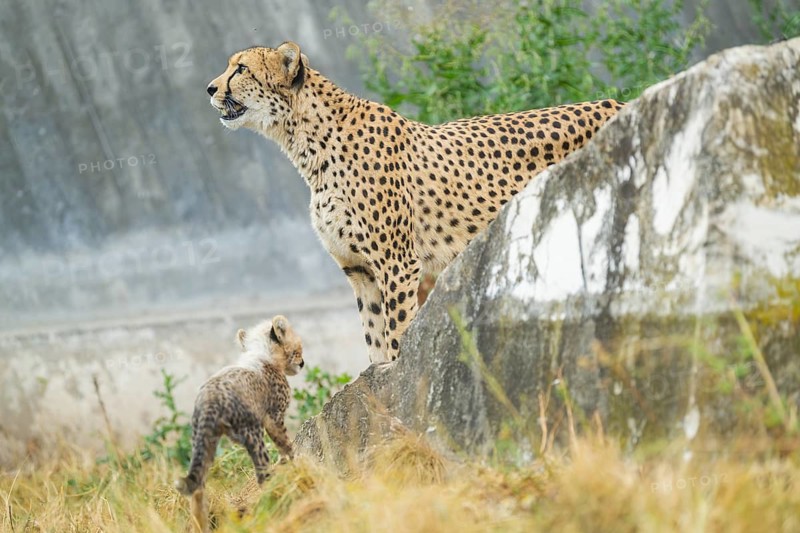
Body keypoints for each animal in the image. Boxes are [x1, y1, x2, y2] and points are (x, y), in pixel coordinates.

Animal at [175, 315, 304, 532]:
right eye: (298, 348)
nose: (302, 363)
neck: (263, 355)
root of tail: (209, 398)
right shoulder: (273, 418)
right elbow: (286, 445)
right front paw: (297, 466)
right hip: (252, 433)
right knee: (262, 473)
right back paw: (274, 497)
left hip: (204, 441)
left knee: (198, 488)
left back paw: (201, 525)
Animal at [207, 41, 624, 364]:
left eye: (240, 68)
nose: (210, 88)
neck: (308, 145)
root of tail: (619, 102)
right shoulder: (359, 269)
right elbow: (374, 334)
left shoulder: (397, 263)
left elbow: (396, 329)